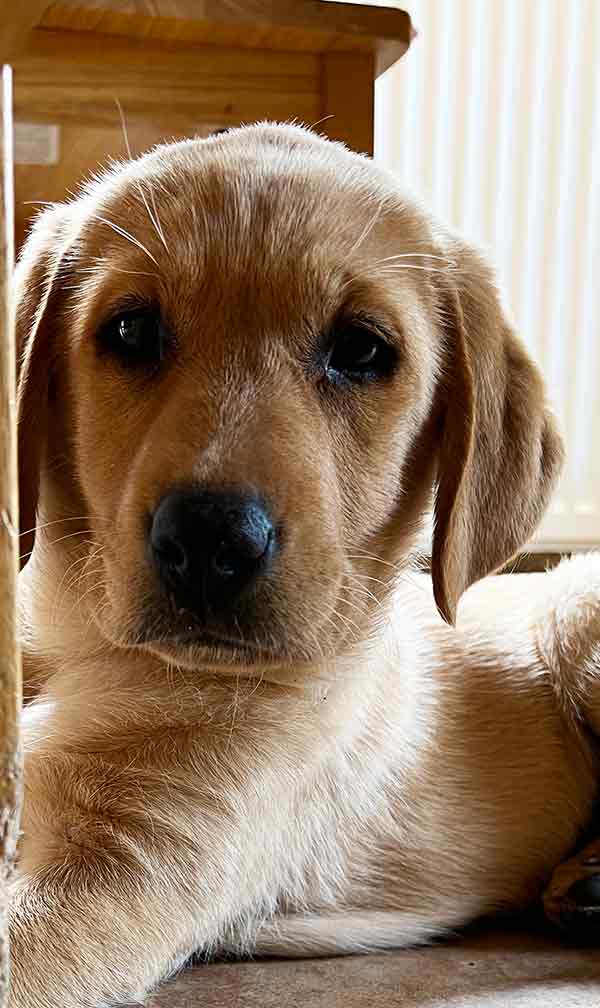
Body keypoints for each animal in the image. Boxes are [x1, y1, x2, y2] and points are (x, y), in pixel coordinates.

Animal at [11, 121, 600, 1003]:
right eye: (130, 331)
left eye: (360, 350)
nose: (210, 540)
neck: (75, 639)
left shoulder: (117, 867)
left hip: (576, 617)